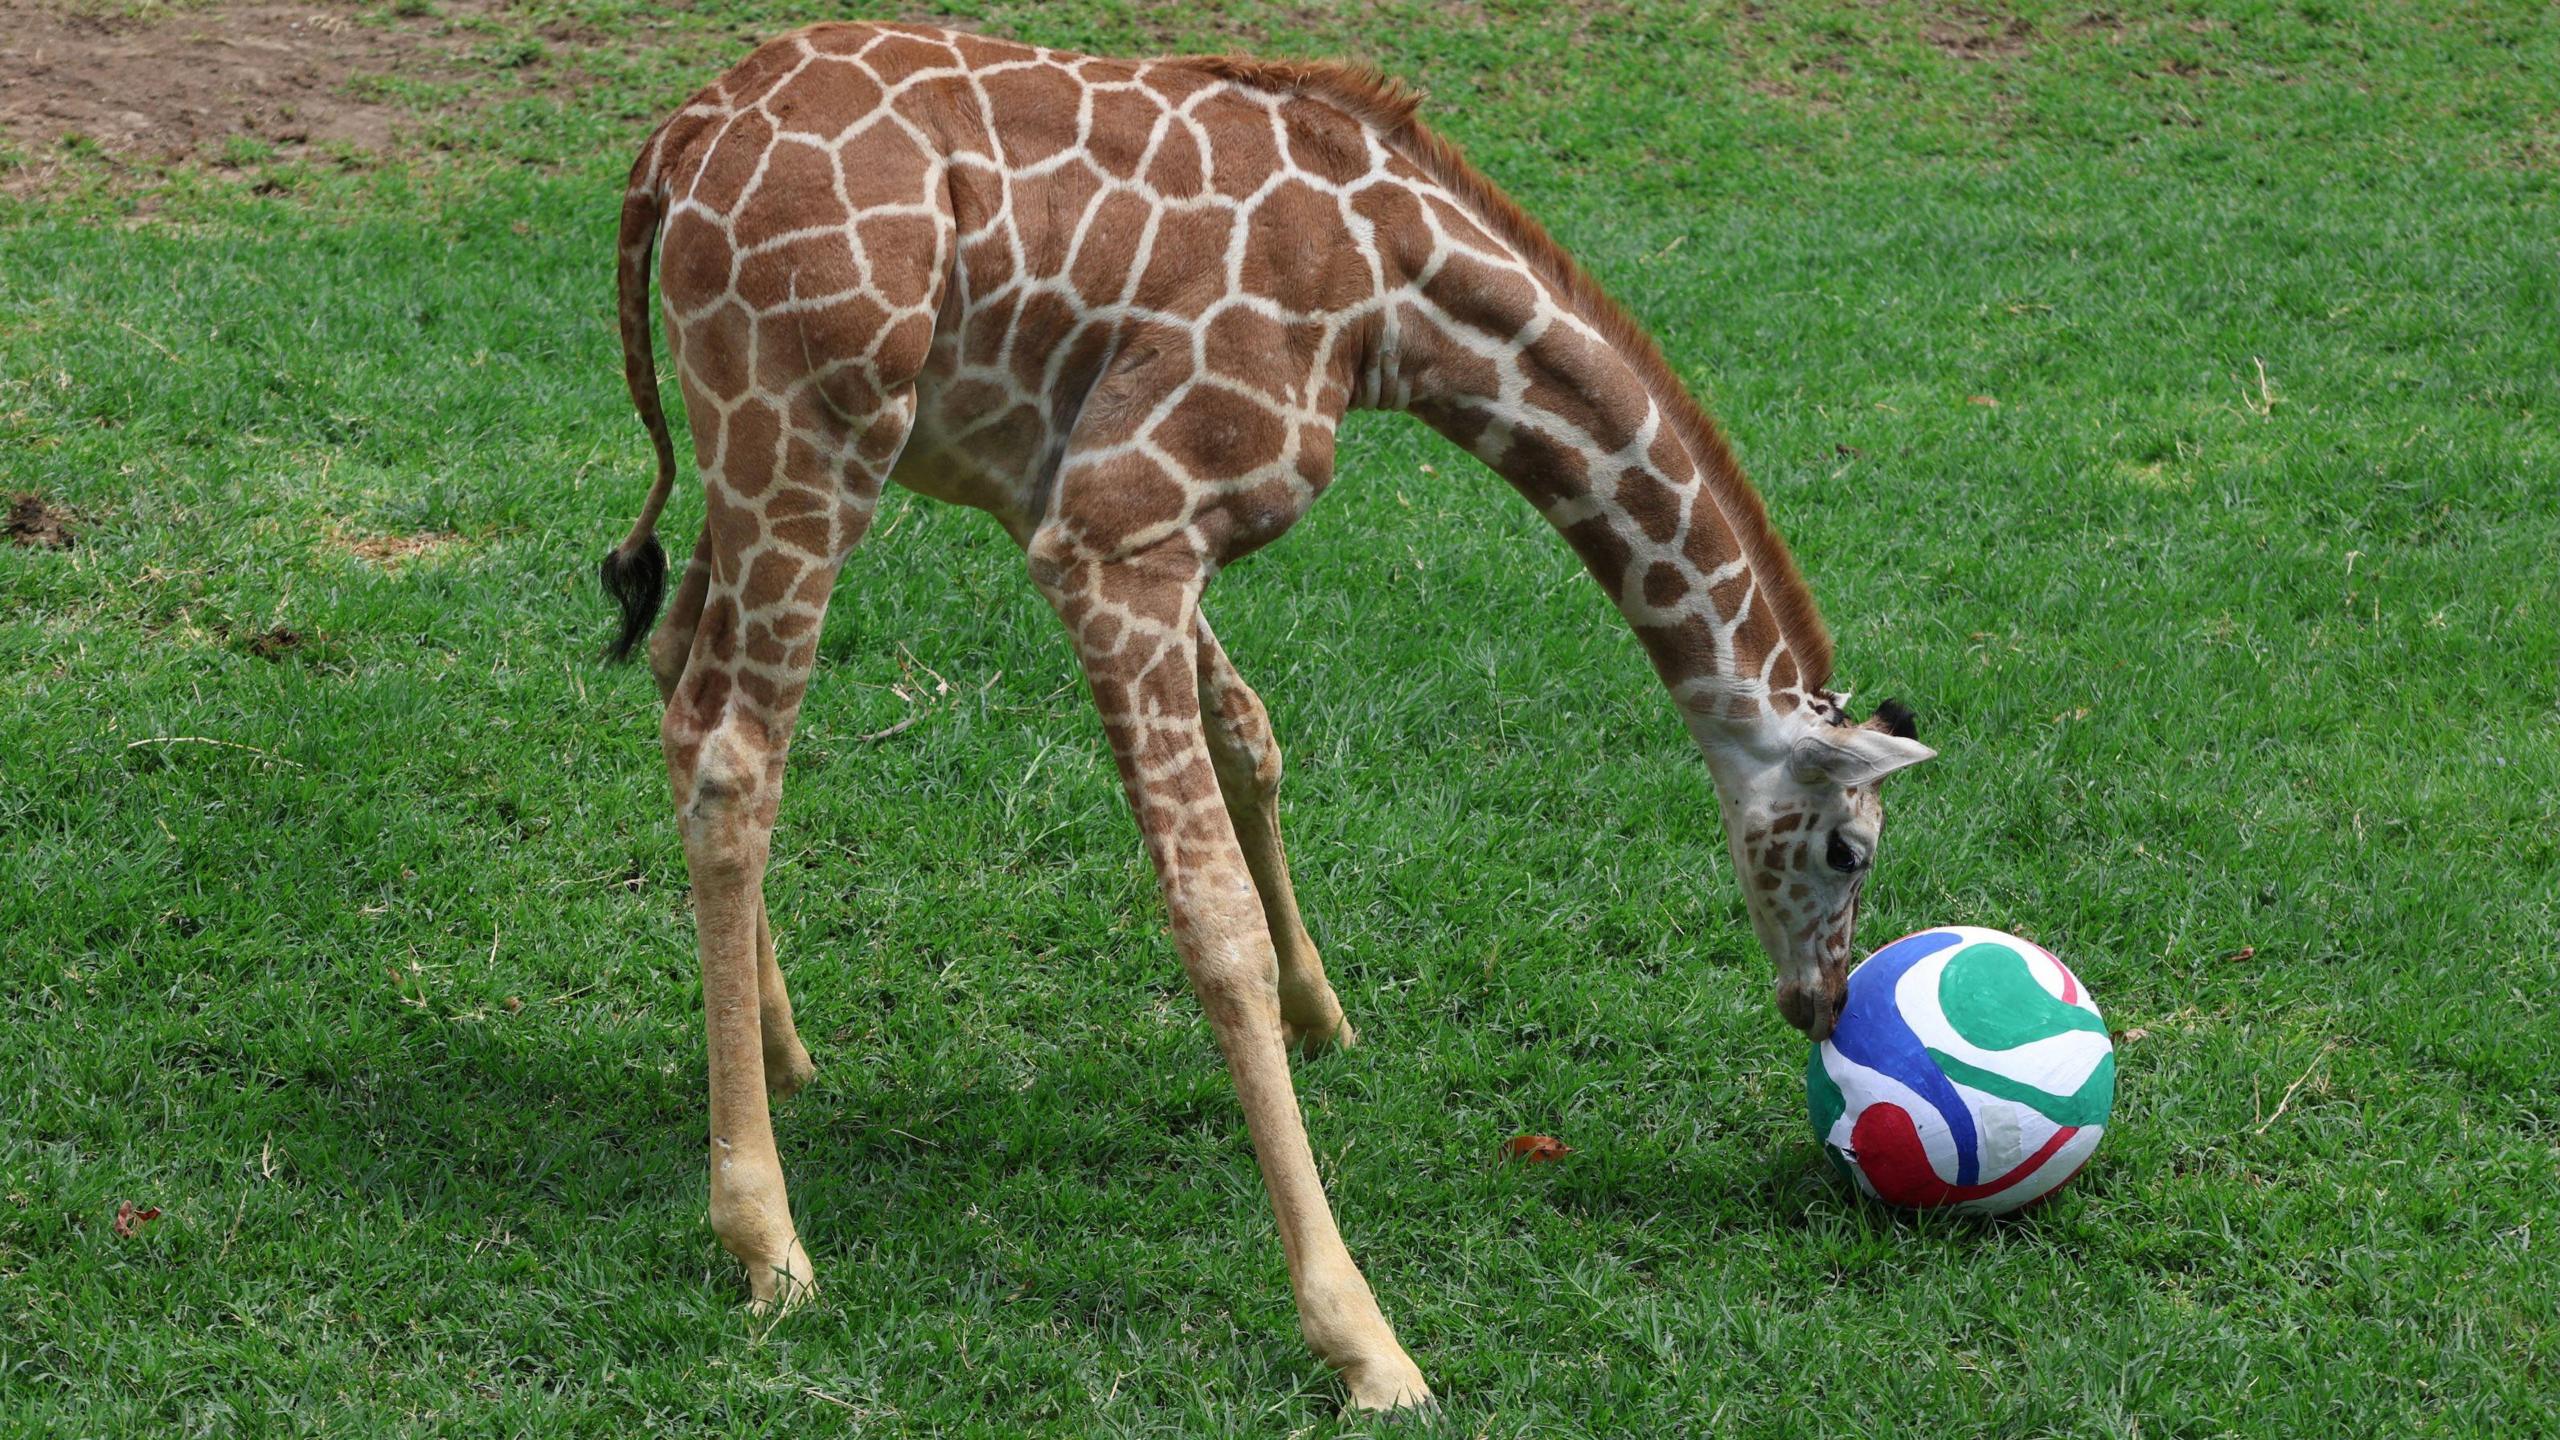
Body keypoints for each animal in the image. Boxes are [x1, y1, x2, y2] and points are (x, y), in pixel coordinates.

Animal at [596, 22, 1936, 1410]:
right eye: (1851, 848)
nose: (1823, 1003)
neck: (1393, 298)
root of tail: (676, 144)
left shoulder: (1099, 515)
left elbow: (1253, 735)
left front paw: (1324, 1014)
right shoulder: (1117, 530)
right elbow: (1210, 915)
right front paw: (1364, 1340)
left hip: (750, 447)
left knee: (684, 681)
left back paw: (783, 1055)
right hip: (806, 433)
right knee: (736, 758)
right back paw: (767, 1241)